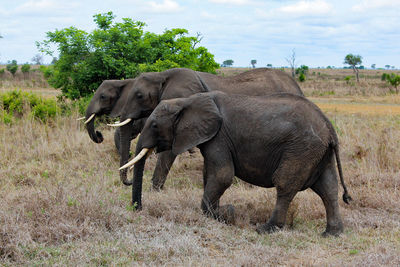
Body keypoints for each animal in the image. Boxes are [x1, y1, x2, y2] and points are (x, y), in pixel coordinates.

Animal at [120, 92, 352, 237]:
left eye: (154, 125)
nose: (138, 209)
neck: (187, 101)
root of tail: (329, 127)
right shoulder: (212, 138)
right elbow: (210, 175)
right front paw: (221, 212)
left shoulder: (219, 136)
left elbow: (222, 176)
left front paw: (225, 214)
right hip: (318, 153)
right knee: (328, 188)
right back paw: (331, 234)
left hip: (301, 149)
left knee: (285, 185)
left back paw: (266, 230)